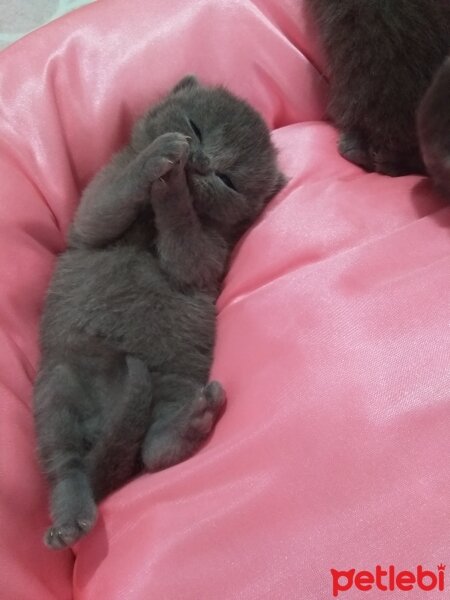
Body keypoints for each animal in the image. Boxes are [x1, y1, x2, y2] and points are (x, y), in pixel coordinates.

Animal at [35, 77, 286, 552]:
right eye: (195, 126)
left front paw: (173, 190)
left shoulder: (208, 254)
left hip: (174, 379)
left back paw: (188, 424)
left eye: (227, 180)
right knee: (66, 465)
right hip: (58, 387)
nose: (200, 162)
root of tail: (108, 422)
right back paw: (69, 518)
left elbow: (186, 246)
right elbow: (109, 202)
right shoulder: (96, 199)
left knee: (151, 452)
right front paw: (160, 159)